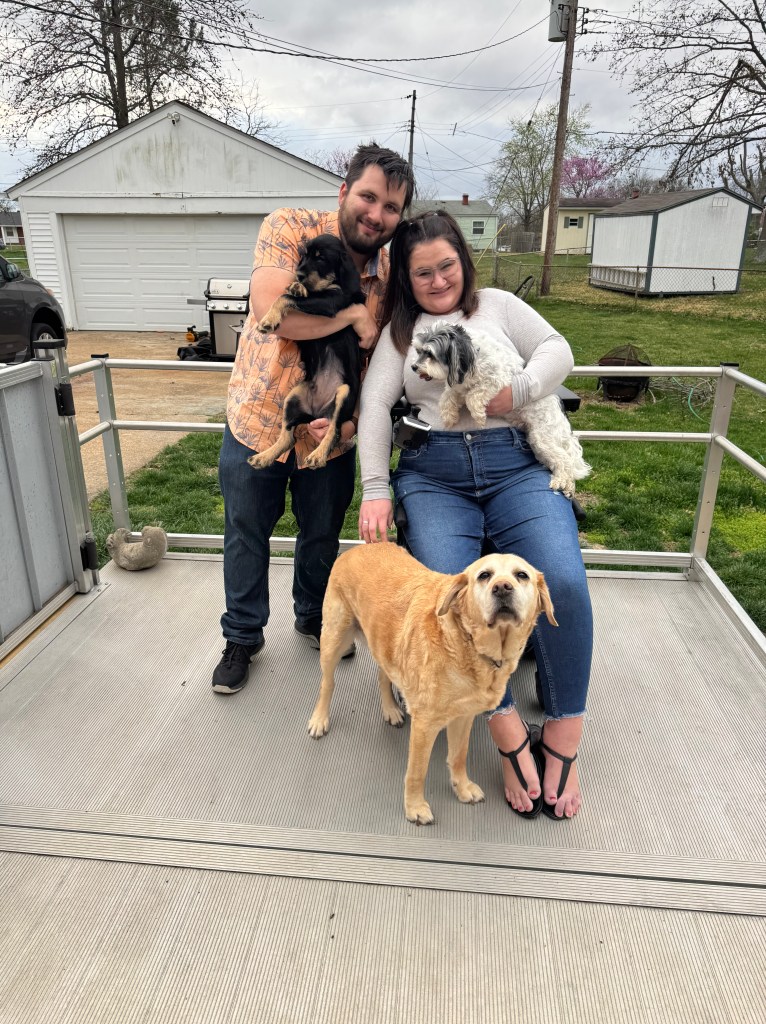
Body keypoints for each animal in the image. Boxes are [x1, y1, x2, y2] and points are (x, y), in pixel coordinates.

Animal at [248, 233, 366, 471]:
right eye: (304, 255)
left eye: (321, 258)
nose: (299, 274)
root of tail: (317, 413)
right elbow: (292, 295)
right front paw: (297, 287)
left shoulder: (332, 301)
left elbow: (285, 297)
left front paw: (268, 320)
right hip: (293, 397)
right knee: (287, 437)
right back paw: (263, 456)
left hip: (344, 393)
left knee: (334, 429)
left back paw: (318, 455)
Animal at [307, 544, 557, 825]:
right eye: (484, 575)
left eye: (521, 575)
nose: (502, 587)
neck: (467, 645)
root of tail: (361, 546)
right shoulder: (425, 725)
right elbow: (417, 772)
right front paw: (415, 807)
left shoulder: (464, 716)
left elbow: (458, 756)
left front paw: (463, 787)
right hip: (334, 638)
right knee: (327, 683)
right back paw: (319, 719)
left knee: (383, 675)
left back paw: (390, 709)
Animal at [411, 321, 591, 497]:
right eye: (418, 351)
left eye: (430, 354)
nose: (413, 366)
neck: (474, 356)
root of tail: (563, 423)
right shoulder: (459, 387)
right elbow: (447, 397)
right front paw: (449, 418)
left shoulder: (497, 381)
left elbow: (473, 397)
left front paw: (479, 417)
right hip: (537, 442)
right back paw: (567, 485)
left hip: (544, 438)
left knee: (564, 461)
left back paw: (561, 482)